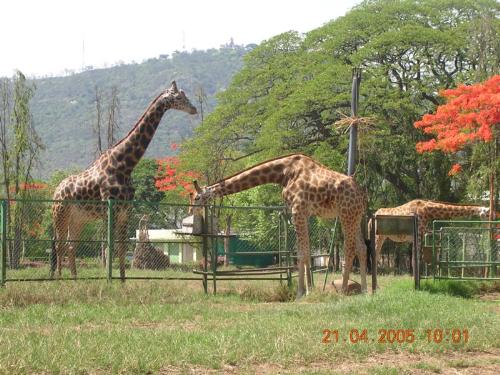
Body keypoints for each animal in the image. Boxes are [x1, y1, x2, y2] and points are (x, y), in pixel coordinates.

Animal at [51, 81, 197, 280]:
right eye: (179, 97)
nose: (194, 109)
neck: (125, 165)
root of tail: (55, 191)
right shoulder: (110, 208)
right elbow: (109, 247)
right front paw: (109, 280)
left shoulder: (126, 210)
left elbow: (121, 248)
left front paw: (122, 281)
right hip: (60, 214)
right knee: (59, 245)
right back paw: (58, 279)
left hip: (79, 218)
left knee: (70, 245)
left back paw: (74, 279)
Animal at [190, 154, 368, 298]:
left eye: (197, 197)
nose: (191, 209)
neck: (283, 173)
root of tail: (362, 194)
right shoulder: (304, 213)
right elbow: (307, 251)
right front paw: (310, 290)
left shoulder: (297, 210)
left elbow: (301, 253)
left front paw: (300, 293)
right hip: (356, 216)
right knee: (362, 247)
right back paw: (366, 290)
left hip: (346, 214)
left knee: (350, 248)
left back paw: (344, 290)